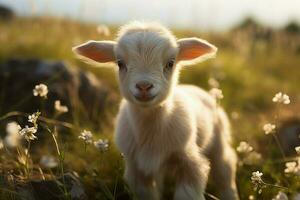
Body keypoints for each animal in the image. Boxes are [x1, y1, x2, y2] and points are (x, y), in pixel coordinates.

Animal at [72, 21, 239, 200]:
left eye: (170, 63)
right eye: (120, 63)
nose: (144, 86)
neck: (150, 132)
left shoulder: (191, 165)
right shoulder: (137, 170)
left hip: (218, 143)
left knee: (225, 170)